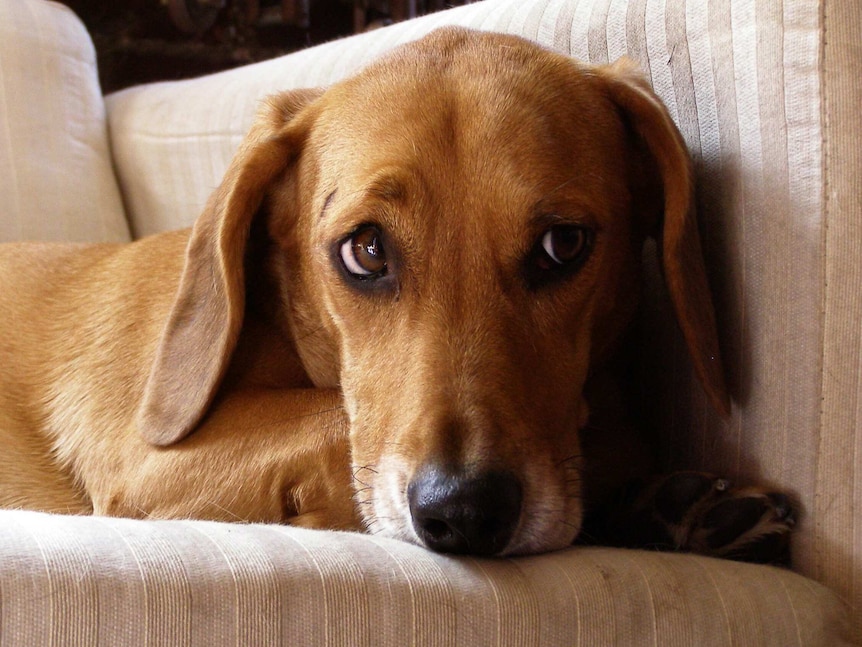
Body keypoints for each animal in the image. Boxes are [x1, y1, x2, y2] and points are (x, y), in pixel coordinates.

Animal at [0, 27, 796, 560]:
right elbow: (335, 424)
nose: (466, 513)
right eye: (368, 249)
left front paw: (660, 501)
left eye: (563, 244)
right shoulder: (148, 463)